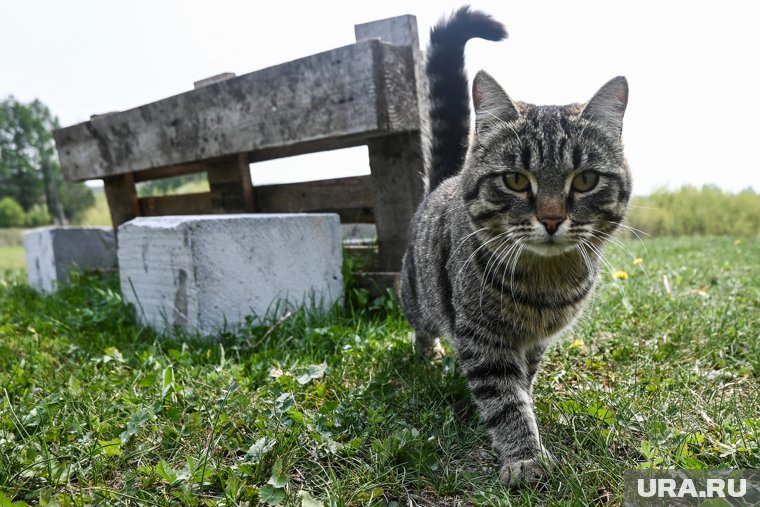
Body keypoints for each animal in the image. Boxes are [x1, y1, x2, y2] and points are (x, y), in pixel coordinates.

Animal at [400, 5, 632, 486]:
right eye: (515, 179)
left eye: (585, 179)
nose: (551, 218)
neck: (546, 282)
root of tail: (444, 180)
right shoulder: (483, 338)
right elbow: (505, 401)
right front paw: (524, 459)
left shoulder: (534, 342)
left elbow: (522, 381)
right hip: (416, 295)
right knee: (421, 325)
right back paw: (428, 353)